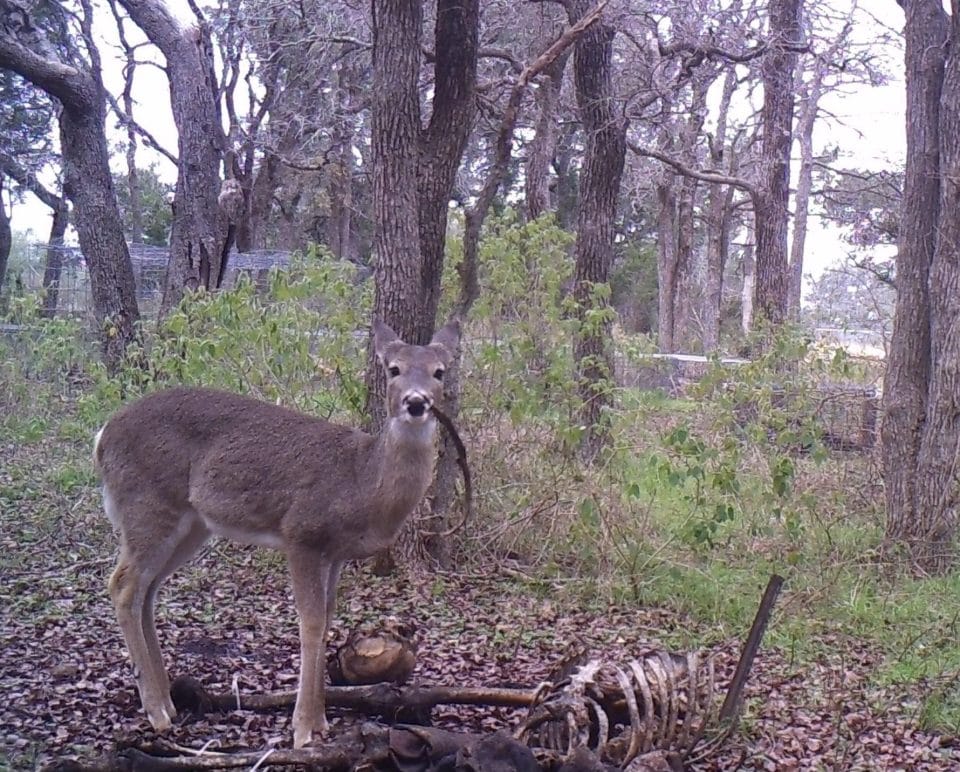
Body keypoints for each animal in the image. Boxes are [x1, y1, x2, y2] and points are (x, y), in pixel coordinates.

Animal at [94, 319, 460, 748]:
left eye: (439, 372)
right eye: (394, 369)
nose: (416, 403)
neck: (361, 483)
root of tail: (101, 436)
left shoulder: (335, 553)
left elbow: (328, 617)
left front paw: (321, 722)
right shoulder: (301, 533)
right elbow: (311, 622)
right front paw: (302, 730)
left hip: (191, 524)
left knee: (147, 591)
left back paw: (168, 702)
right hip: (148, 505)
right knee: (122, 586)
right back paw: (156, 713)